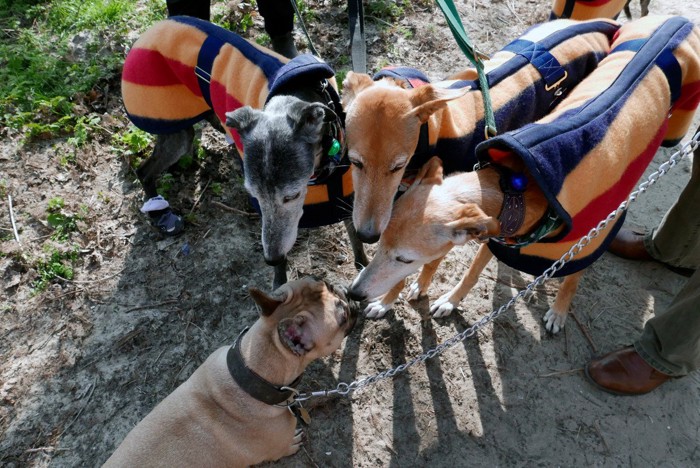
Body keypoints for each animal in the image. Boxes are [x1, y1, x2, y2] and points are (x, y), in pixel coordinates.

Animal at [103, 280, 356, 466]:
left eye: (320, 281)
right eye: (342, 315)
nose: (342, 290)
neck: (253, 371)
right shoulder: (277, 445)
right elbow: (284, 447)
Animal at [348, 16, 700, 332]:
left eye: (397, 165)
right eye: (354, 163)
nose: (353, 292)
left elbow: (424, 266)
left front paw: (398, 297)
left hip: (597, 231)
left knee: (575, 273)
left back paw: (558, 310)